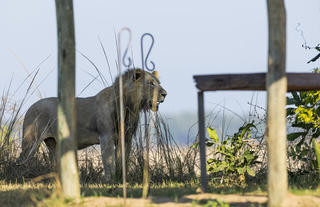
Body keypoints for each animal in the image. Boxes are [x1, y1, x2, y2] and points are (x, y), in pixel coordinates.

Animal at [18, 68, 168, 182]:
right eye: (151, 84)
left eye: (159, 83)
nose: (165, 94)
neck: (129, 107)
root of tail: (30, 106)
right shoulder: (106, 136)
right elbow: (109, 161)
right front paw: (110, 180)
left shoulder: (126, 138)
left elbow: (122, 160)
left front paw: (122, 179)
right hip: (31, 140)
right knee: (22, 159)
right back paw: (21, 175)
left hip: (54, 144)